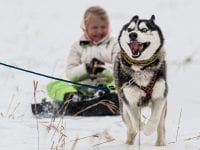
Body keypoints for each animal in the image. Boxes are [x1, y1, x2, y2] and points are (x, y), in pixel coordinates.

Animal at [114, 14, 167, 145]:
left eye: (144, 29)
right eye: (129, 29)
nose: (132, 35)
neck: (141, 69)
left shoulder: (160, 96)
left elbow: (155, 118)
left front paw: (149, 129)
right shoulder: (130, 100)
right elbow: (136, 120)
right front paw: (142, 127)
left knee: (161, 125)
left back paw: (160, 144)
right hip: (123, 107)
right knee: (130, 127)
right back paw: (129, 143)